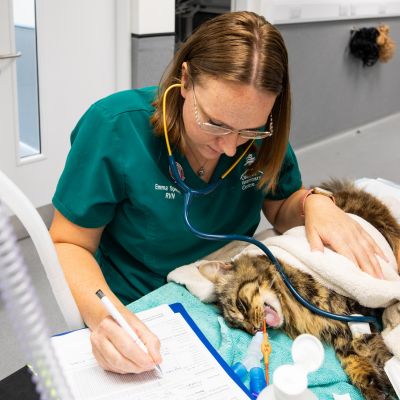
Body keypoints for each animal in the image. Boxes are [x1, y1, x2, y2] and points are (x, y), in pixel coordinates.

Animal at [202, 181, 398, 400]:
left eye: (241, 305)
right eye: (239, 327)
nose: (253, 329)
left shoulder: (356, 312)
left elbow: (372, 349)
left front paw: (390, 377)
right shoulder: (341, 330)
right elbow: (352, 360)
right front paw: (373, 386)